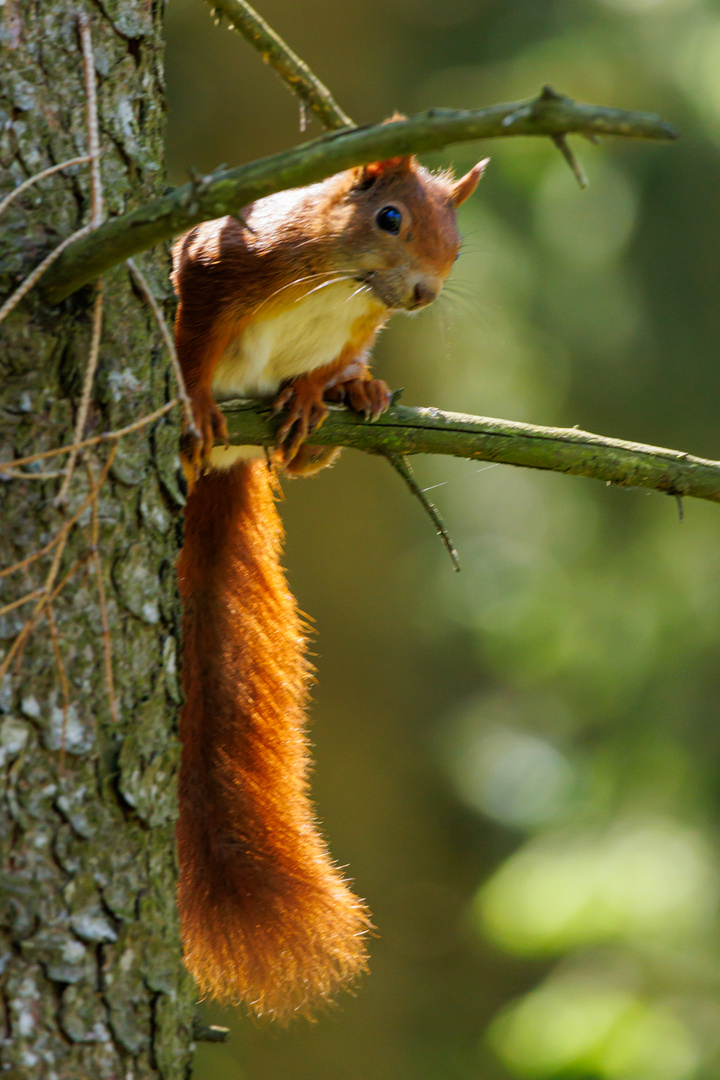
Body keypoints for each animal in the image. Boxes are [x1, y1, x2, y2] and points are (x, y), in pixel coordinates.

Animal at [171, 150, 487, 1019]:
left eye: (459, 239)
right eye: (389, 218)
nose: (424, 293)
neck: (340, 285)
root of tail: (230, 463)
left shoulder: (356, 330)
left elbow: (323, 365)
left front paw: (318, 392)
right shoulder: (214, 268)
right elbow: (189, 346)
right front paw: (197, 398)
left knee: (320, 440)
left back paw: (353, 399)